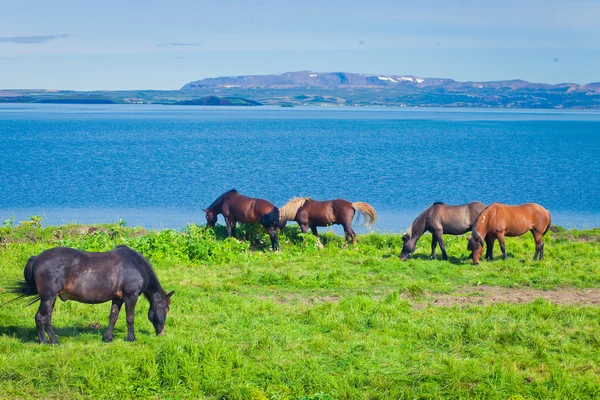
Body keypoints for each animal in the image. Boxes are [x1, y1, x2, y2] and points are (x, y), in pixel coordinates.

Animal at [9, 244, 173, 344]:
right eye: (166, 309)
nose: (162, 333)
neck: (136, 266)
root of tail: (36, 258)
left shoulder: (117, 298)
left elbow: (113, 317)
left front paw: (108, 338)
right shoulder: (130, 296)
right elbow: (130, 318)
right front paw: (131, 338)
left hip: (49, 298)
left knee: (43, 317)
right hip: (48, 298)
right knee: (43, 317)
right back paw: (49, 341)